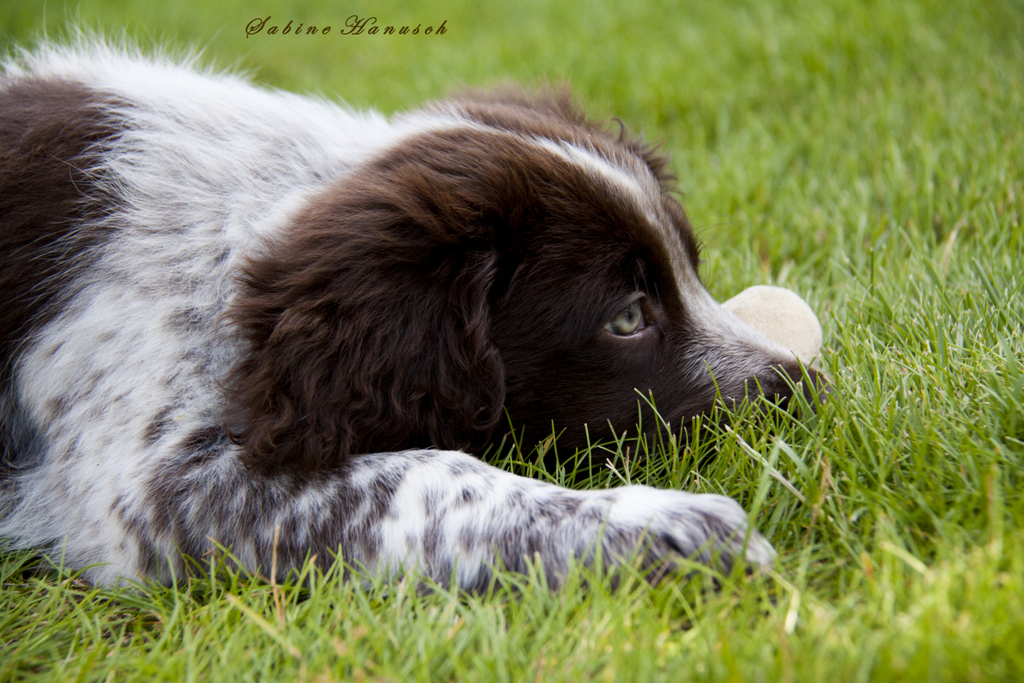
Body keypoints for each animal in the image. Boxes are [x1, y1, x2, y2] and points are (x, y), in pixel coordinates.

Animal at [0, 41, 815, 589]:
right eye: (626, 318)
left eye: (693, 271)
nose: (804, 390)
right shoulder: (145, 491)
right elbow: (429, 476)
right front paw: (666, 529)